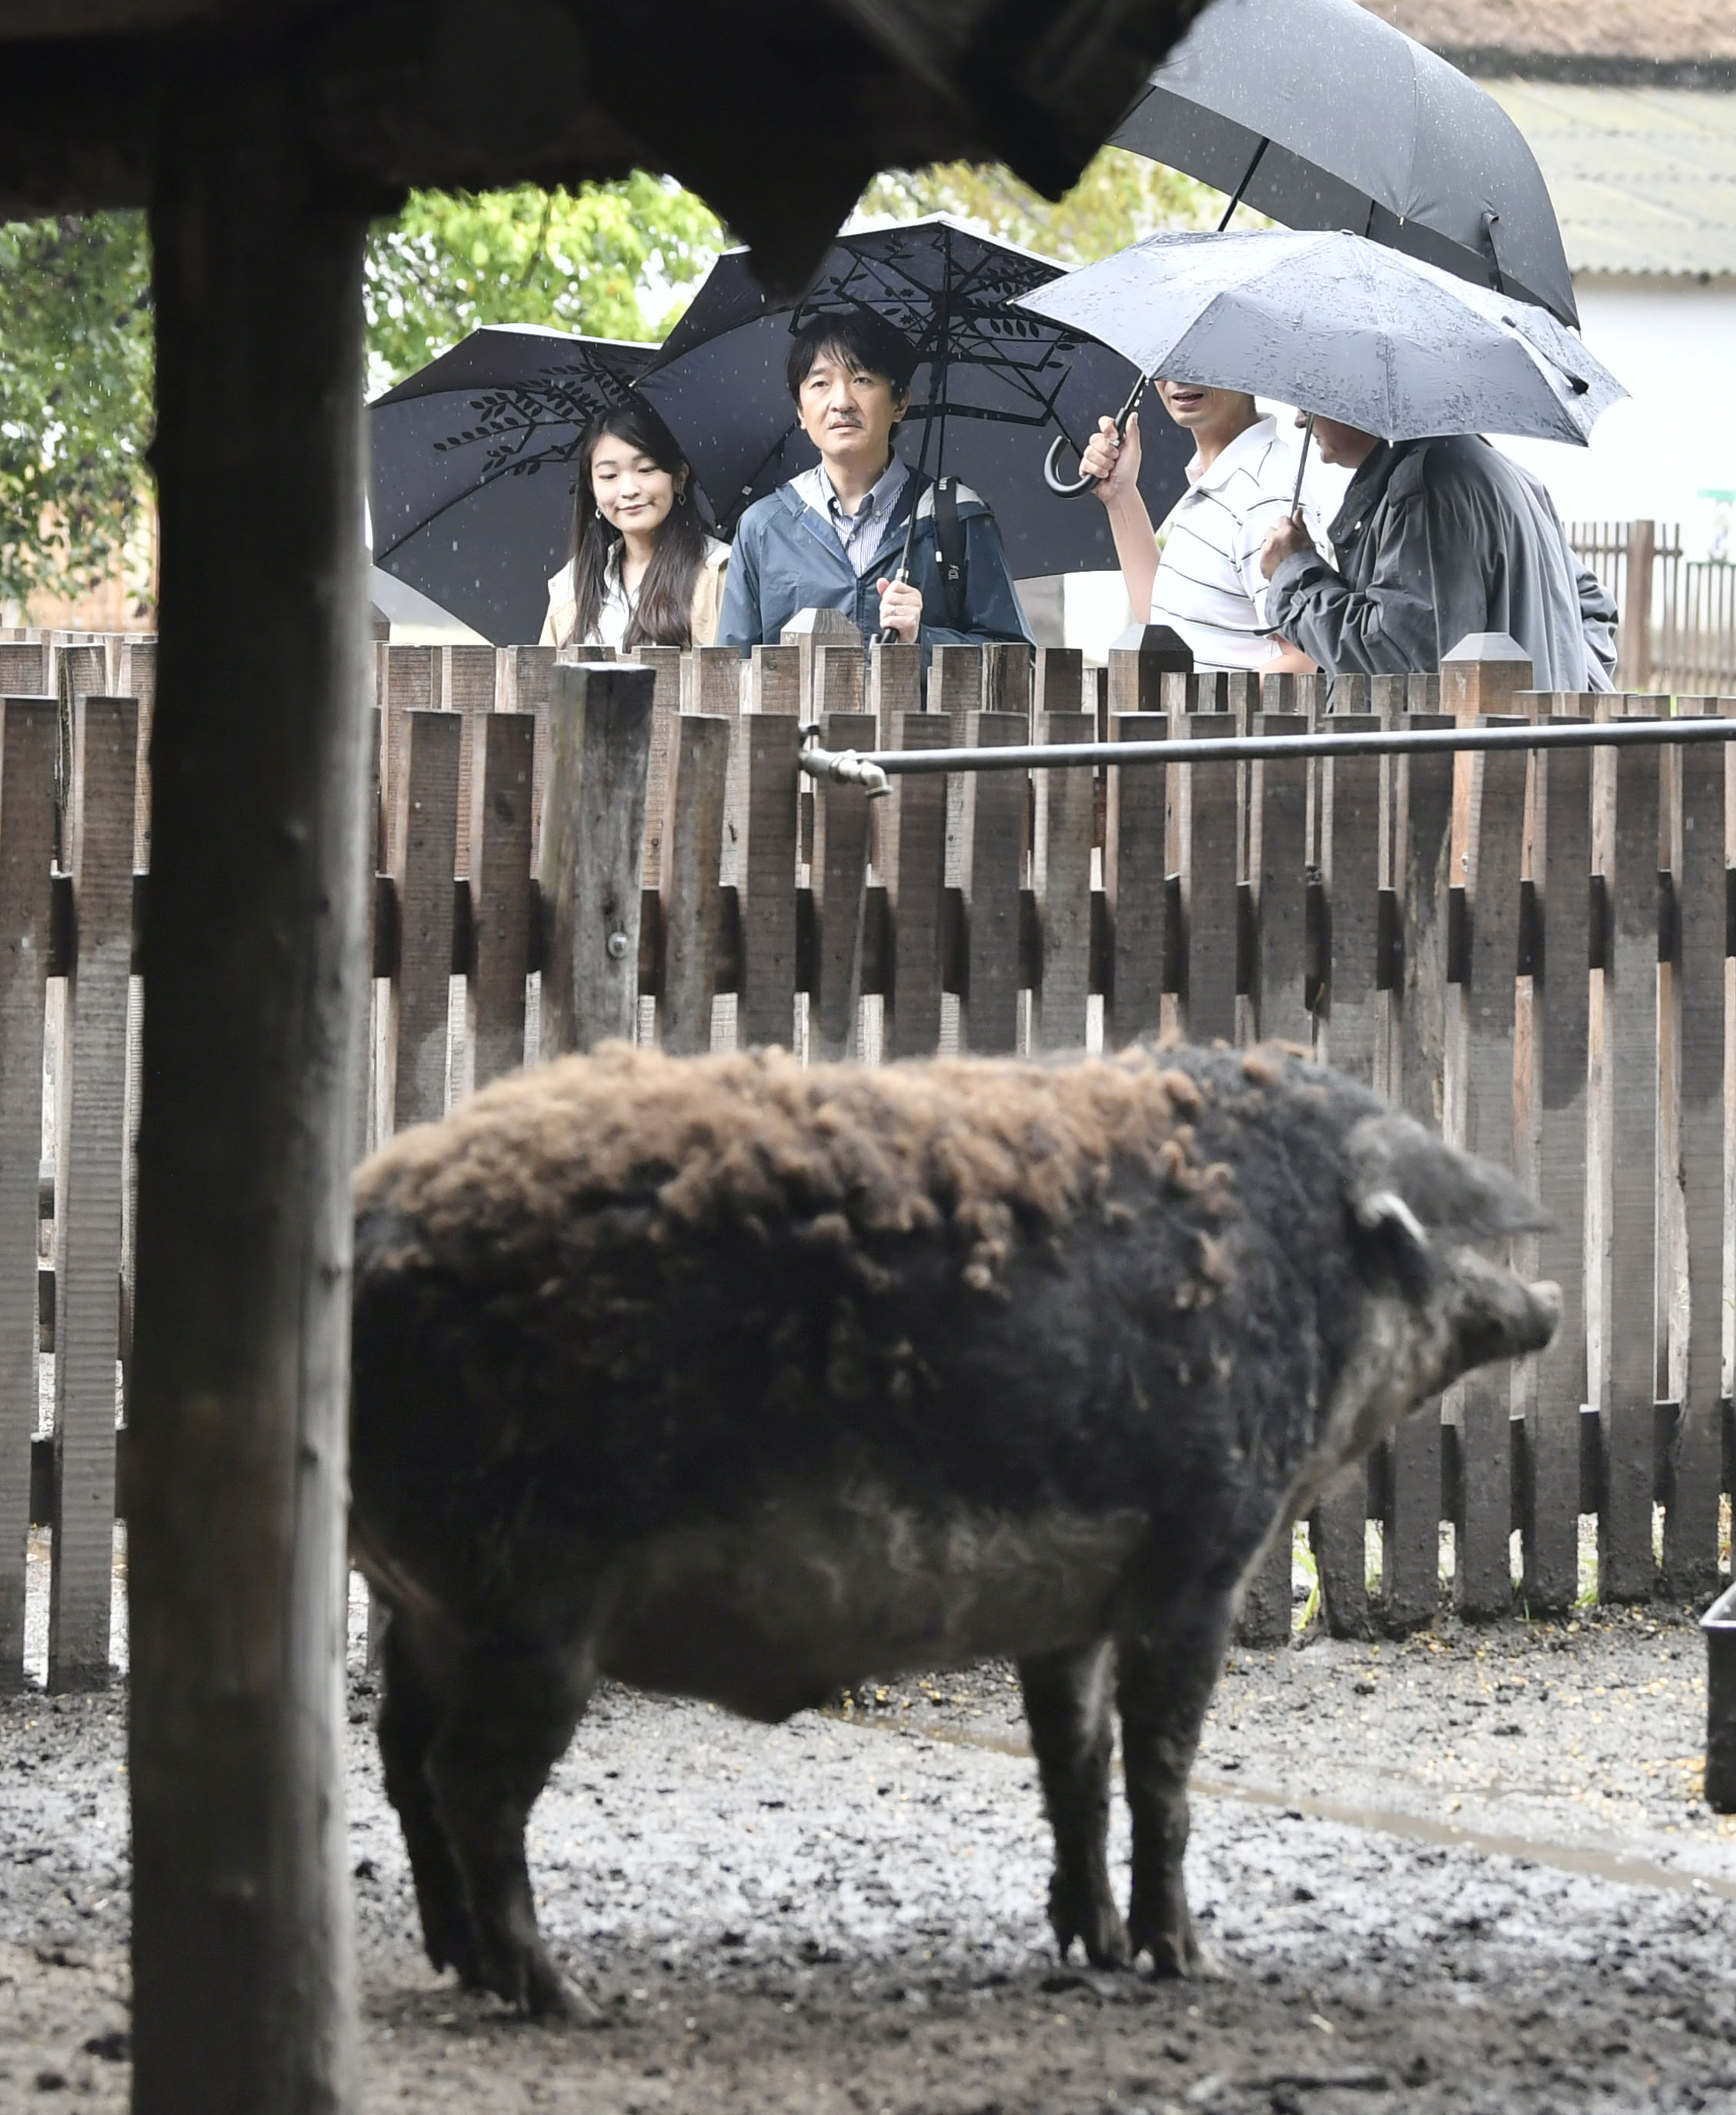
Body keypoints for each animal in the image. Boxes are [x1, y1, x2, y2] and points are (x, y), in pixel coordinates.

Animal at [352, 1041, 1556, 2013]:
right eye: (1449, 1201)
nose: (1547, 1292)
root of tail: (369, 1230)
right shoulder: (1201, 1552)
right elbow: (1162, 1767)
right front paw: (1187, 1961)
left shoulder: (1073, 1602)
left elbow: (1075, 1759)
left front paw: (1095, 1948)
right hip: (528, 1605)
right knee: (467, 1779)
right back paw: (563, 1998)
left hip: (425, 1605)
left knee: (402, 1755)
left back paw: (461, 1964)